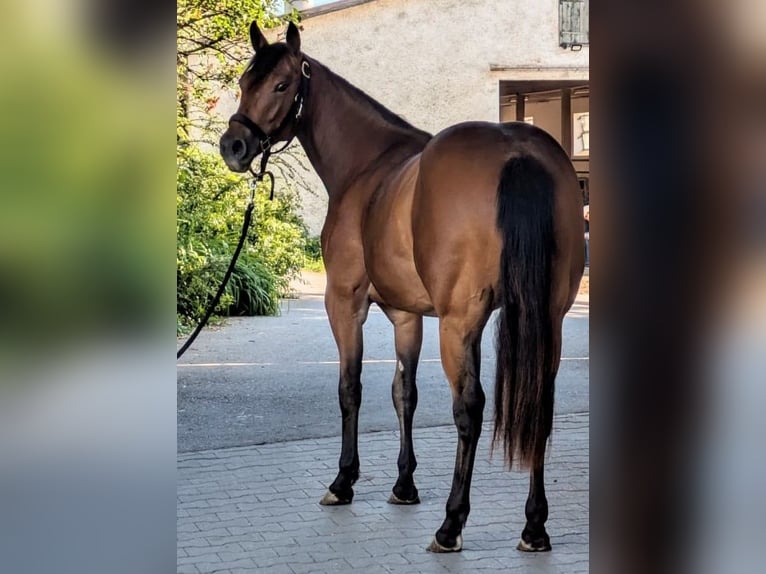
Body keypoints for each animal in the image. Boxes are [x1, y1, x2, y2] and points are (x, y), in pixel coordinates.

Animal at [220, 21, 584, 553]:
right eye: (246, 81)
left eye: (282, 84)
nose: (233, 146)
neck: (369, 166)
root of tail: (517, 152)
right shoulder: (407, 314)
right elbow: (403, 392)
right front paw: (404, 485)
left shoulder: (344, 303)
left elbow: (351, 388)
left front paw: (344, 481)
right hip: (547, 320)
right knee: (540, 401)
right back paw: (534, 527)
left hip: (459, 323)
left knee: (469, 409)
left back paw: (451, 524)